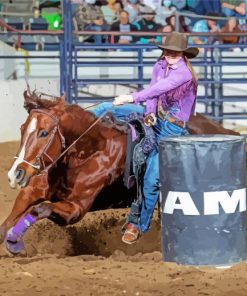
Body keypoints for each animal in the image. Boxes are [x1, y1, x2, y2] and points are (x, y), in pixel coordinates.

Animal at [0, 90, 240, 254]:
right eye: (22, 129)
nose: (15, 174)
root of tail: (224, 130)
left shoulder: (76, 208)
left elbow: (39, 210)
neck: (89, 150)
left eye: (43, 132)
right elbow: (11, 218)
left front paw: (14, 241)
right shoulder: (32, 191)